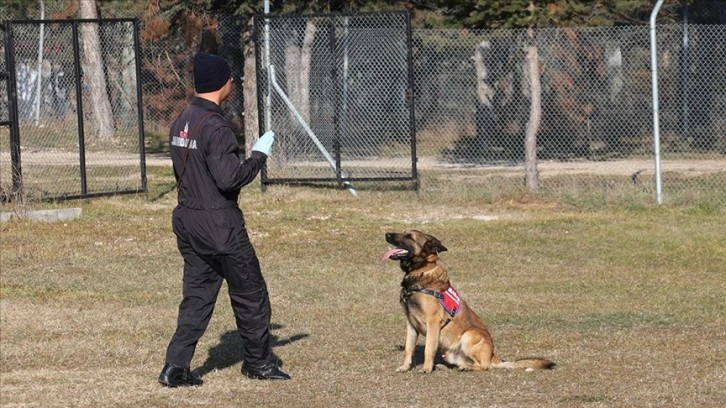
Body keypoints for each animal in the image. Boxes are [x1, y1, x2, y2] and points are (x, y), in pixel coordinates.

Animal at [382, 230, 556, 372]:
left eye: (409, 236)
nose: (387, 234)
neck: (421, 273)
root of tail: (493, 355)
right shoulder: (411, 323)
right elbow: (409, 348)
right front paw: (406, 367)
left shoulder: (433, 322)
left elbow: (428, 349)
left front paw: (426, 368)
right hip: (450, 352)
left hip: (469, 335)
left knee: (484, 366)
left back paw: (464, 368)